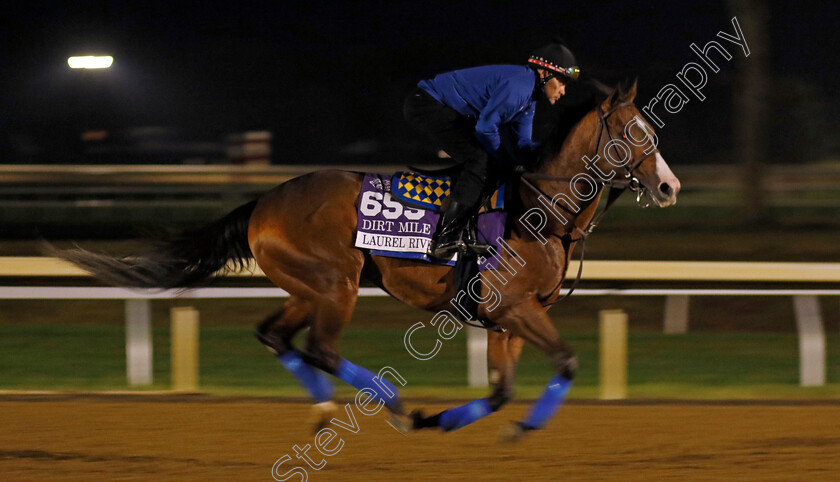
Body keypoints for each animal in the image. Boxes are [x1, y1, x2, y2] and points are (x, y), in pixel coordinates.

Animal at [60, 82, 676, 440]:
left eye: (653, 128)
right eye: (632, 130)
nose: (668, 186)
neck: (542, 208)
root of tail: (264, 201)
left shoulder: (506, 318)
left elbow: (503, 390)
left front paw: (446, 420)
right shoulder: (515, 307)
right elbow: (566, 362)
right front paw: (513, 427)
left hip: (307, 287)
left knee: (276, 336)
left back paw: (327, 412)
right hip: (337, 284)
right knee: (321, 348)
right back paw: (394, 405)